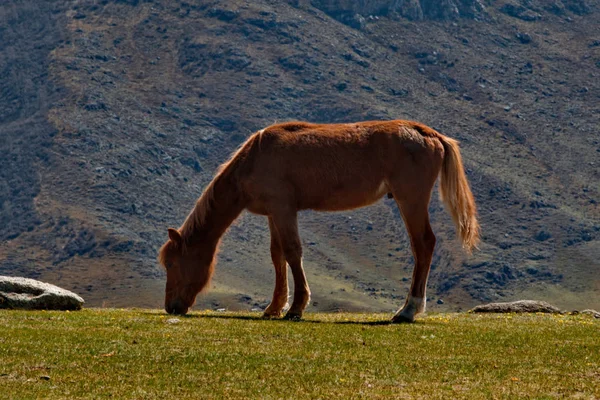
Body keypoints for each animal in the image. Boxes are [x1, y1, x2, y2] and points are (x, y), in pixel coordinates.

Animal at [158, 119, 478, 322]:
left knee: (423, 245)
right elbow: (277, 256)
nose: (171, 307)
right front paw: (274, 307)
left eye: (172, 264)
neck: (255, 158)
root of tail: (428, 133)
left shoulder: (284, 210)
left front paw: (296, 307)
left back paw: (408, 310)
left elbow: (292, 253)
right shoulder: (274, 214)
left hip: (410, 200)